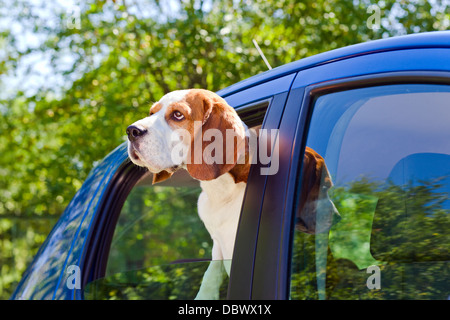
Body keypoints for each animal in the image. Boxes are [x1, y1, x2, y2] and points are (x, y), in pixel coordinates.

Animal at [125, 89, 338, 298]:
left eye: (178, 114)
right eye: (151, 113)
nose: (131, 131)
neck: (221, 192)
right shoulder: (218, 244)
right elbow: (210, 274)